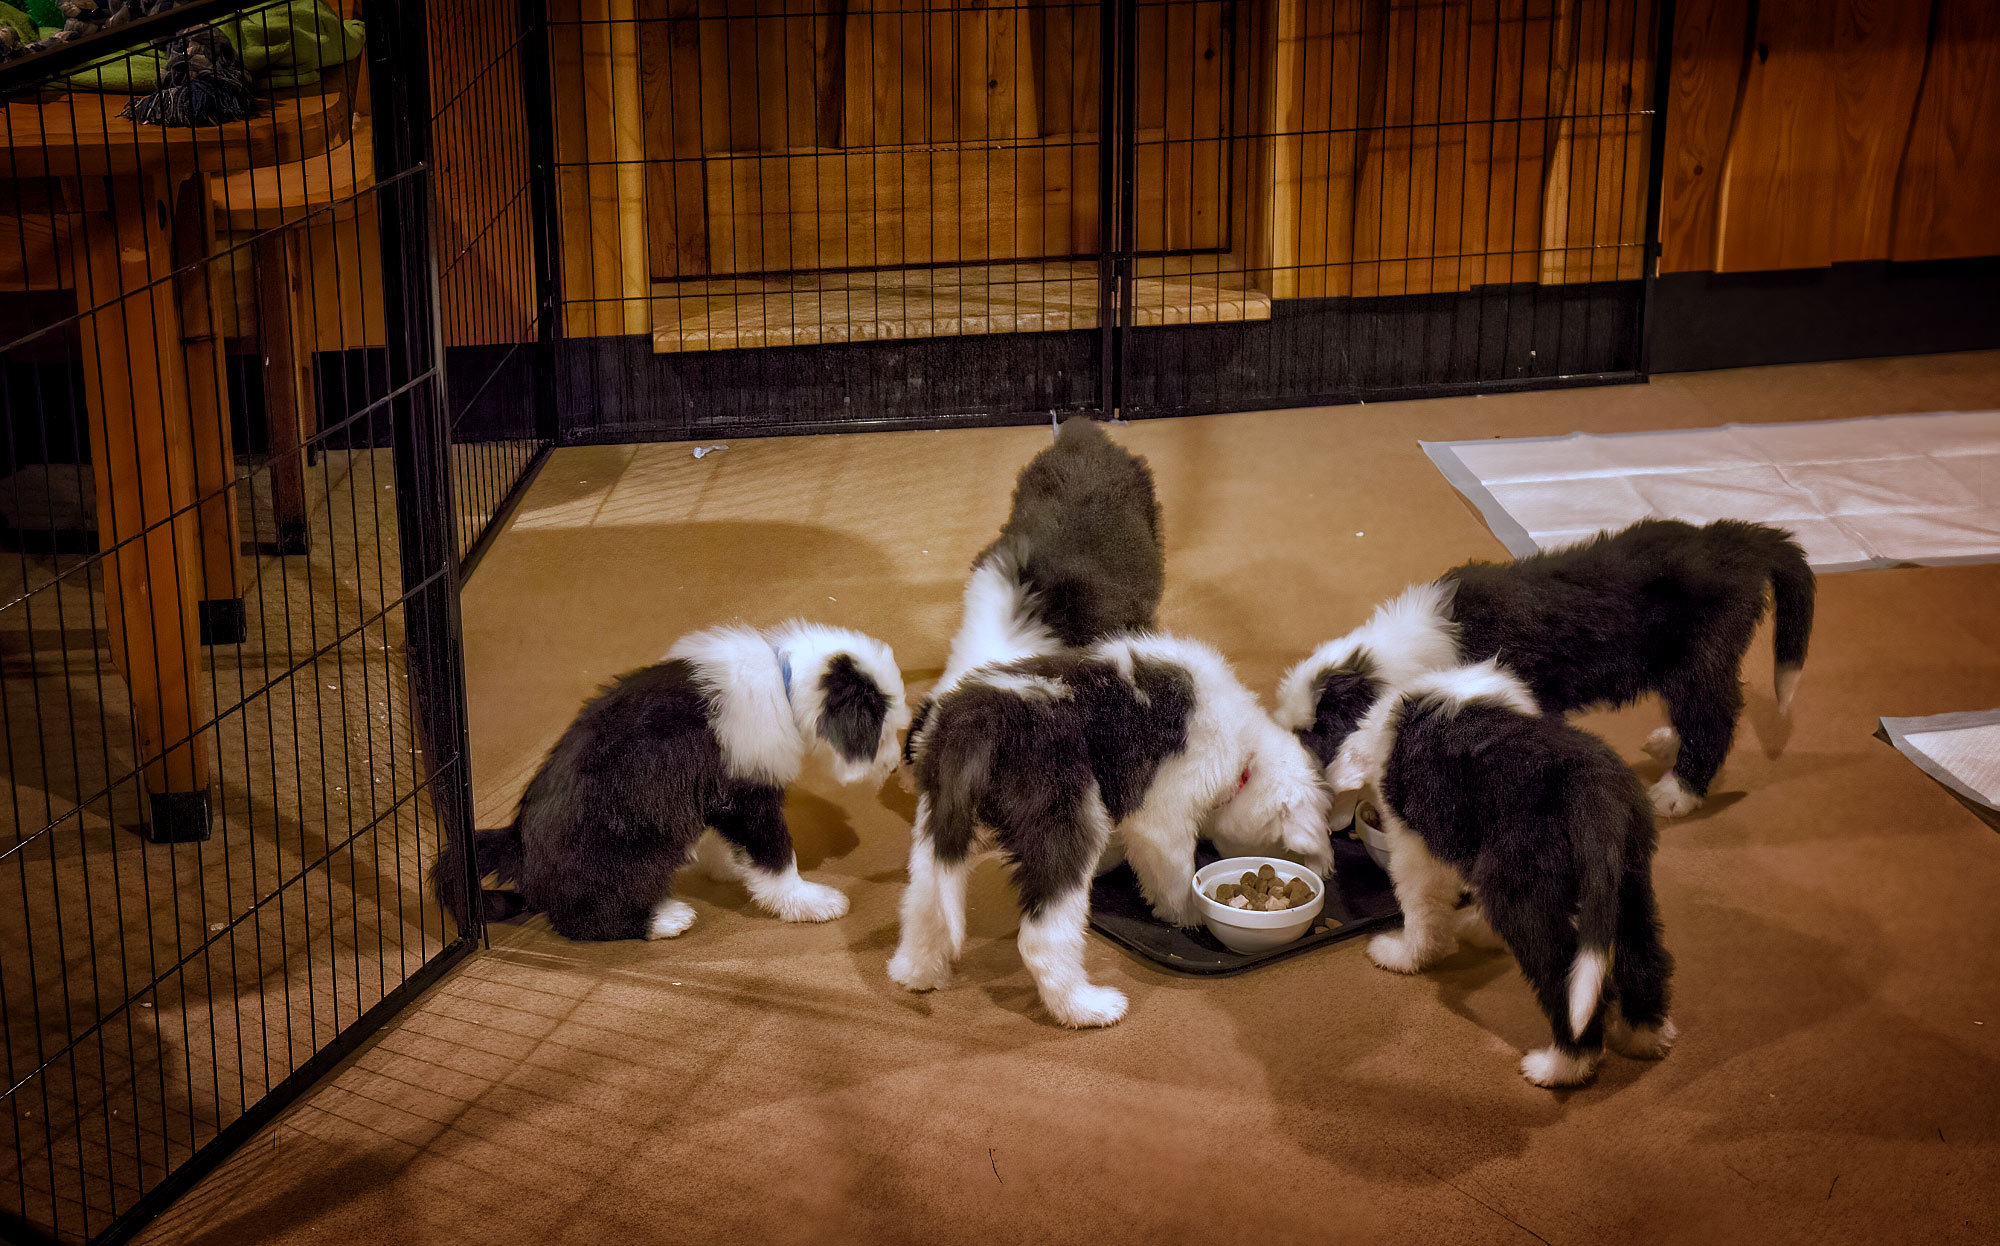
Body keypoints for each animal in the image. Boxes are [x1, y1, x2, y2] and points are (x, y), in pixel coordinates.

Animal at [438, 624, 916, 944]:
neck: (783, 681)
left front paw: (730, 867)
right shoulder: (745, 798)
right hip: (633, 849)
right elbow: (777, 857)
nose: (895, 767)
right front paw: (807, 901)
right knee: (582, 921)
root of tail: (517, 845)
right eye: (883, 730)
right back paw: (663, 919)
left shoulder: (711, 795)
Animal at [892, 640, 1328, 1032]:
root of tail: (977, 721)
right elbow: (1175, 877)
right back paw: (1087, 1009)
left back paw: (915, 972)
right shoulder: (1164, 815)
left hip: (937, 817)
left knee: (923, 901)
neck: (1245, 749)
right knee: (1042, 939)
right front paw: (1186, 916)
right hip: (1068, 820)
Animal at [1280, 516, 1816, 820]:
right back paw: (1668, 742)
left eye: (1317, 734)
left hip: (1700, 656)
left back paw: (1677, 793)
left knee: (1713, 717)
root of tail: (1734, 542)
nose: (1299, 784)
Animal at [1328, 660, 1672, 1088]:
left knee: (1561, 978)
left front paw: (1403, 955)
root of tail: (1591, 791)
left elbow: (1422, 909)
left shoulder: (1415, 848)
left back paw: (1559, 1066)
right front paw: (1479, 933)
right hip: (1629, 879)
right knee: (1643, 955)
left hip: (1521, 890)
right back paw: (1644, 1037)